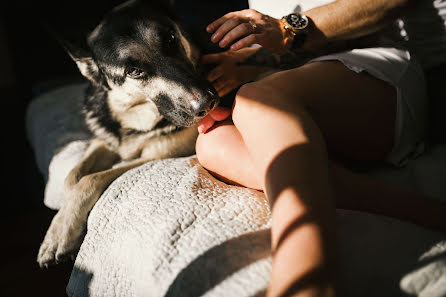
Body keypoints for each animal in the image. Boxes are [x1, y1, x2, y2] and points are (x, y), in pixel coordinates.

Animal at [37, 0, 219, 266]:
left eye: (170, 38)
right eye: (133, 71)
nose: (207, 103)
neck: (136, 119)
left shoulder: (156, 156)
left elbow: (90, 179)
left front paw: (62, 230)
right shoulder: (105, 142)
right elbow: (71, 178)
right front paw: (60, 227)